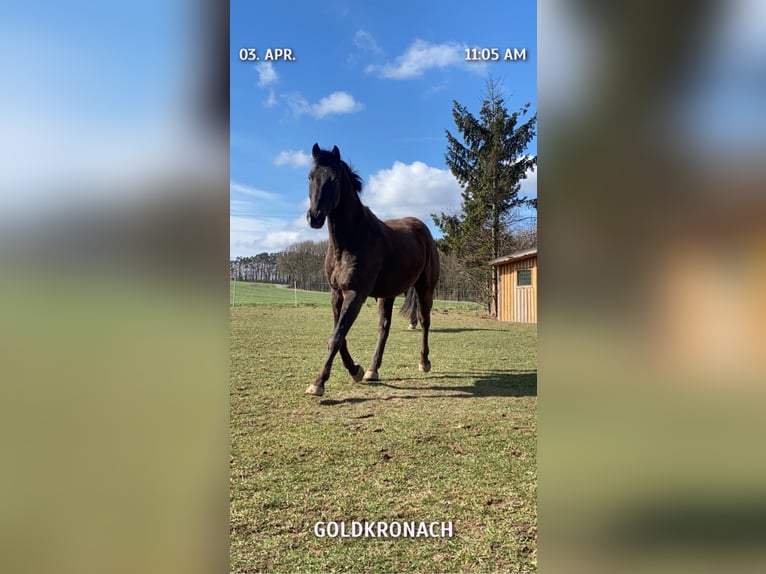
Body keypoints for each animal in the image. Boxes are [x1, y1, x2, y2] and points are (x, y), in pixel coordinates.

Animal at [304, 143, 440, 396]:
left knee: (424, 321)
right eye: (310, 176)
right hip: (387, 295)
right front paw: (355, 370)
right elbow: (340, 336)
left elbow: (336, 337)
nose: (315, 217)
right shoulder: (336, 295)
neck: (350, 240)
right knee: (383, 328)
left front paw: (318, 382)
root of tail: (421, 227)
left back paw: (424, 362)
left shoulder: (355, 295)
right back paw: (372, 369)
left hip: (425, 288)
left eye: (335, 179)